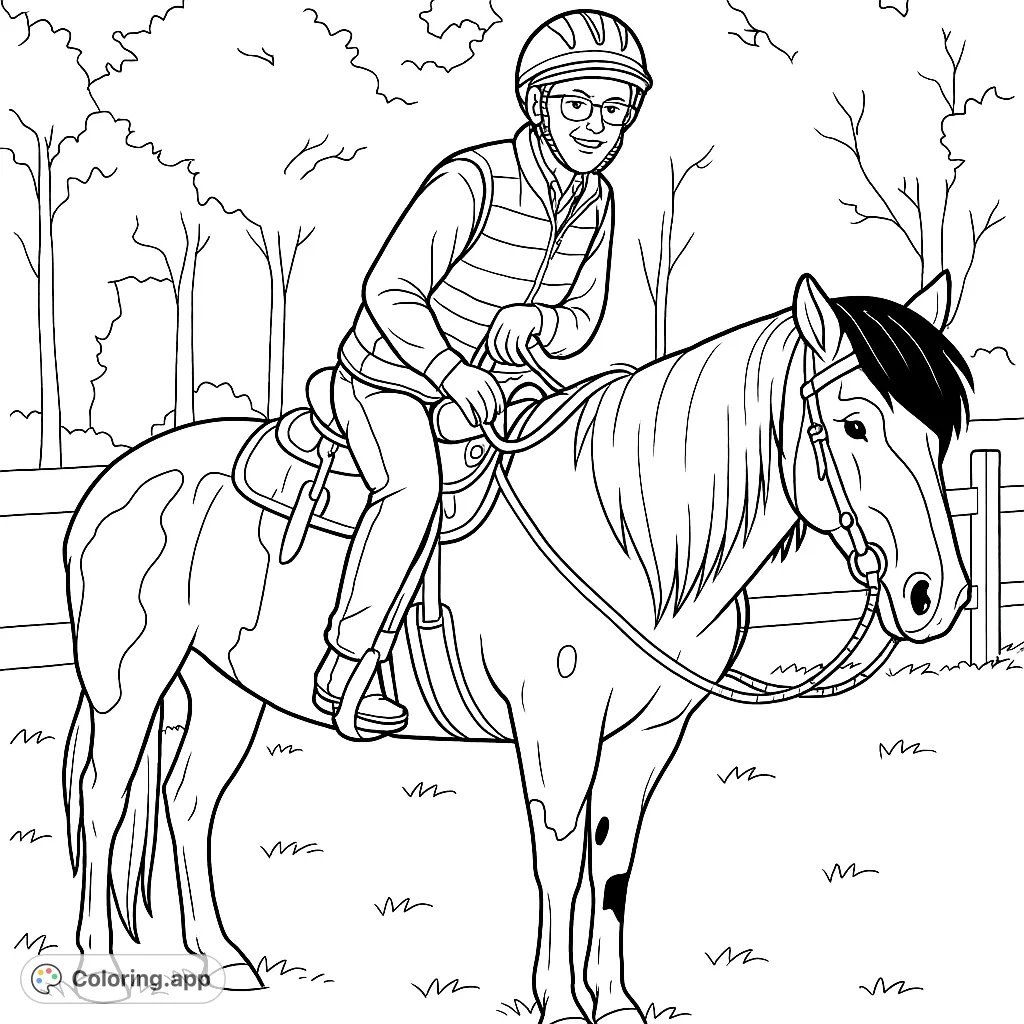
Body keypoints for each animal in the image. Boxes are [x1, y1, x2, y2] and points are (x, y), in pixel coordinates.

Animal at [61, 272, 972, 1021]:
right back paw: (103, 966)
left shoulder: (647, 737)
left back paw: (226, 960)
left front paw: (618, 1003)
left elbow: (613, 863)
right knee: (107, 798)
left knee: (185, 804)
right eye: (853, 424)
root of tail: (120, 481)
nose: (935, 596)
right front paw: (560, 1005)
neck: (627, 536)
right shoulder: (554, 727)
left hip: (226, 693)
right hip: (128, 683)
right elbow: (559, 857)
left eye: (937, 437)